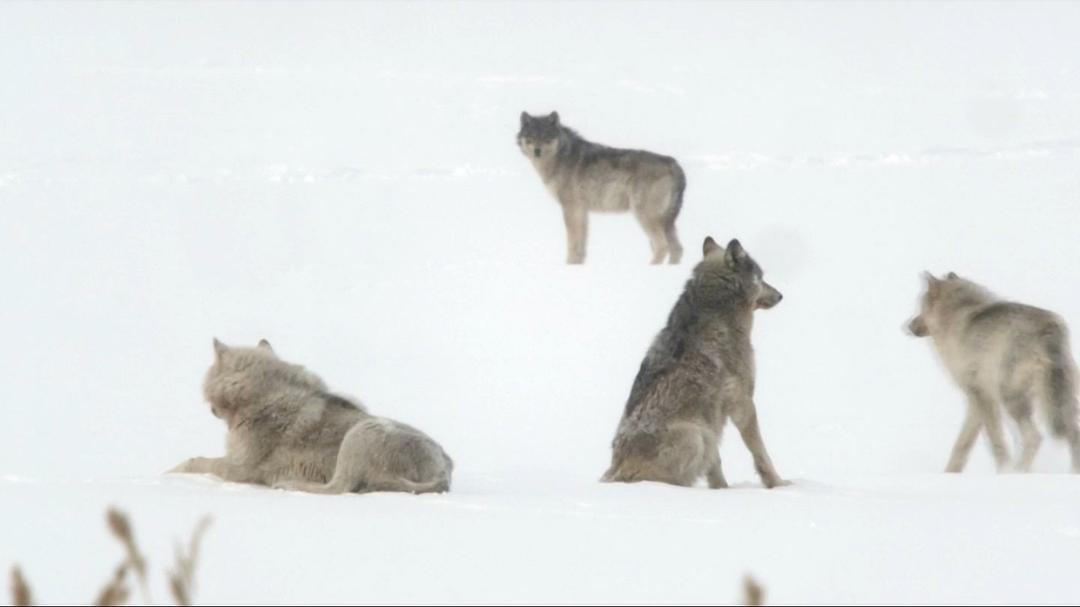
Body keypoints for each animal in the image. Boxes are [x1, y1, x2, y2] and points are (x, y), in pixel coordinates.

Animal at [169, 339, 453, 494]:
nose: (212, 410)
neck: (262, 397)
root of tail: (444, 469)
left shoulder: (240, 469)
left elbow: (195, 462)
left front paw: (170, 472)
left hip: (361, 433)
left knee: (337, 490)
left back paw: (289, 485)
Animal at [517, 111, 685, 265]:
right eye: (531, 136)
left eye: (547, 137)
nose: (537, 151)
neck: (560, 158)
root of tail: (673, 163)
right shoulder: (581, 210)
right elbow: (580, 244)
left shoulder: (570, 207)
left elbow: (572, 242)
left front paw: (569, 264)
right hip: (666, 222)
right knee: (677, 249)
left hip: (644, 215)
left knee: (662, 247)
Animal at [602, 237, 787, 488]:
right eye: (761, 277)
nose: (780, 295)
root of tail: (614, 472)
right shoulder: (742, 402)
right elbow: (760, 453)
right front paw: (780, 484)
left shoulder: (713, 421)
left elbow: (716, 467)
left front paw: (722, 491)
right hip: (696, 435)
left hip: (703, 434)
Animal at [907, 272, 1080, 473]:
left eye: (920, 307)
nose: (909, 326)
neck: (956, 314)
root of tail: (1049, 328)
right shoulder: (977, 400)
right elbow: (962, 444)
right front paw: (951, 472)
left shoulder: (981, 395)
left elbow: (995, 442)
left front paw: (1003, 471)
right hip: (1058, 400)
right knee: (1073, 433)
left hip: (1012, 398)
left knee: (1034, 438)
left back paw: (1019, 471)